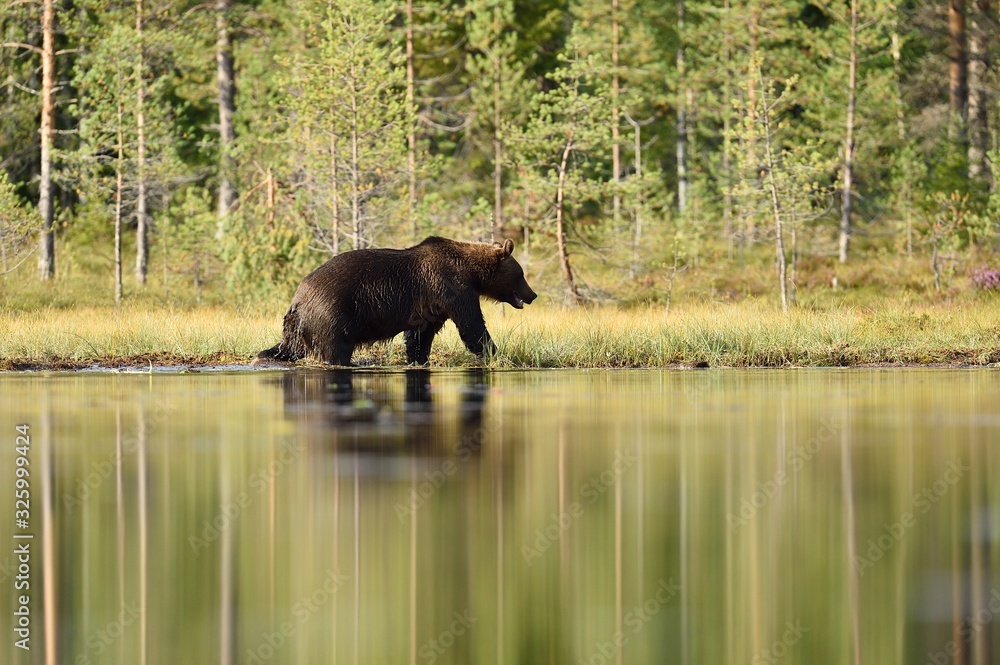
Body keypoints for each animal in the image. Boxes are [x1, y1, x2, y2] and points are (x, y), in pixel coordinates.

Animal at [258, 236, 540, 366]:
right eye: (521, 274)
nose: (533, 294)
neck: (472, 273)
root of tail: (298, 298)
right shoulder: (453, 289)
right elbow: (472, 325)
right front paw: (496, 352)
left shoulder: (430, 305)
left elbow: (420, 335)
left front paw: (419, 359)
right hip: (332, 314)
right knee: (334, 348)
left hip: (300, 325)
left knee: (290, 346)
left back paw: (267, 354)